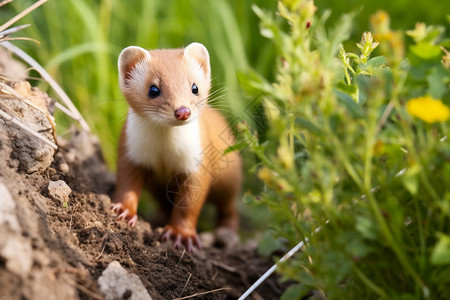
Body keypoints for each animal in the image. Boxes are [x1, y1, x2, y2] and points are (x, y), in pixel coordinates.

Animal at [111, 43, 243, 252]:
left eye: (194, 87)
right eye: (153, 89)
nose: (182, 111)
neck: (165, 153)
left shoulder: (198, 164)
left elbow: (189, 204)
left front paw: (181, 234)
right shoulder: (130, 153)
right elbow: (126, 184)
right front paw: (123, 210)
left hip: (229, 180)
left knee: (229, 208)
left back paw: (227, 231)